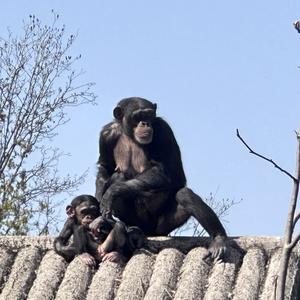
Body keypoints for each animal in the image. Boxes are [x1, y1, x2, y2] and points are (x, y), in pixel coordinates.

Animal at [91, 96, 227, 260]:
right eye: (137, 116)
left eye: (148, 115)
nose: (145, 123)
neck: (129, 134)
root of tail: (152, 232)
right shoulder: (106, 135)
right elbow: (105, 167)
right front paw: (99, 215)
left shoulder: (164, 130)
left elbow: (164, 171)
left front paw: (113, 191)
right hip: (140, 223)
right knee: (118, 176)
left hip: (163, 226)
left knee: (185, 194)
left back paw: (218, 239)